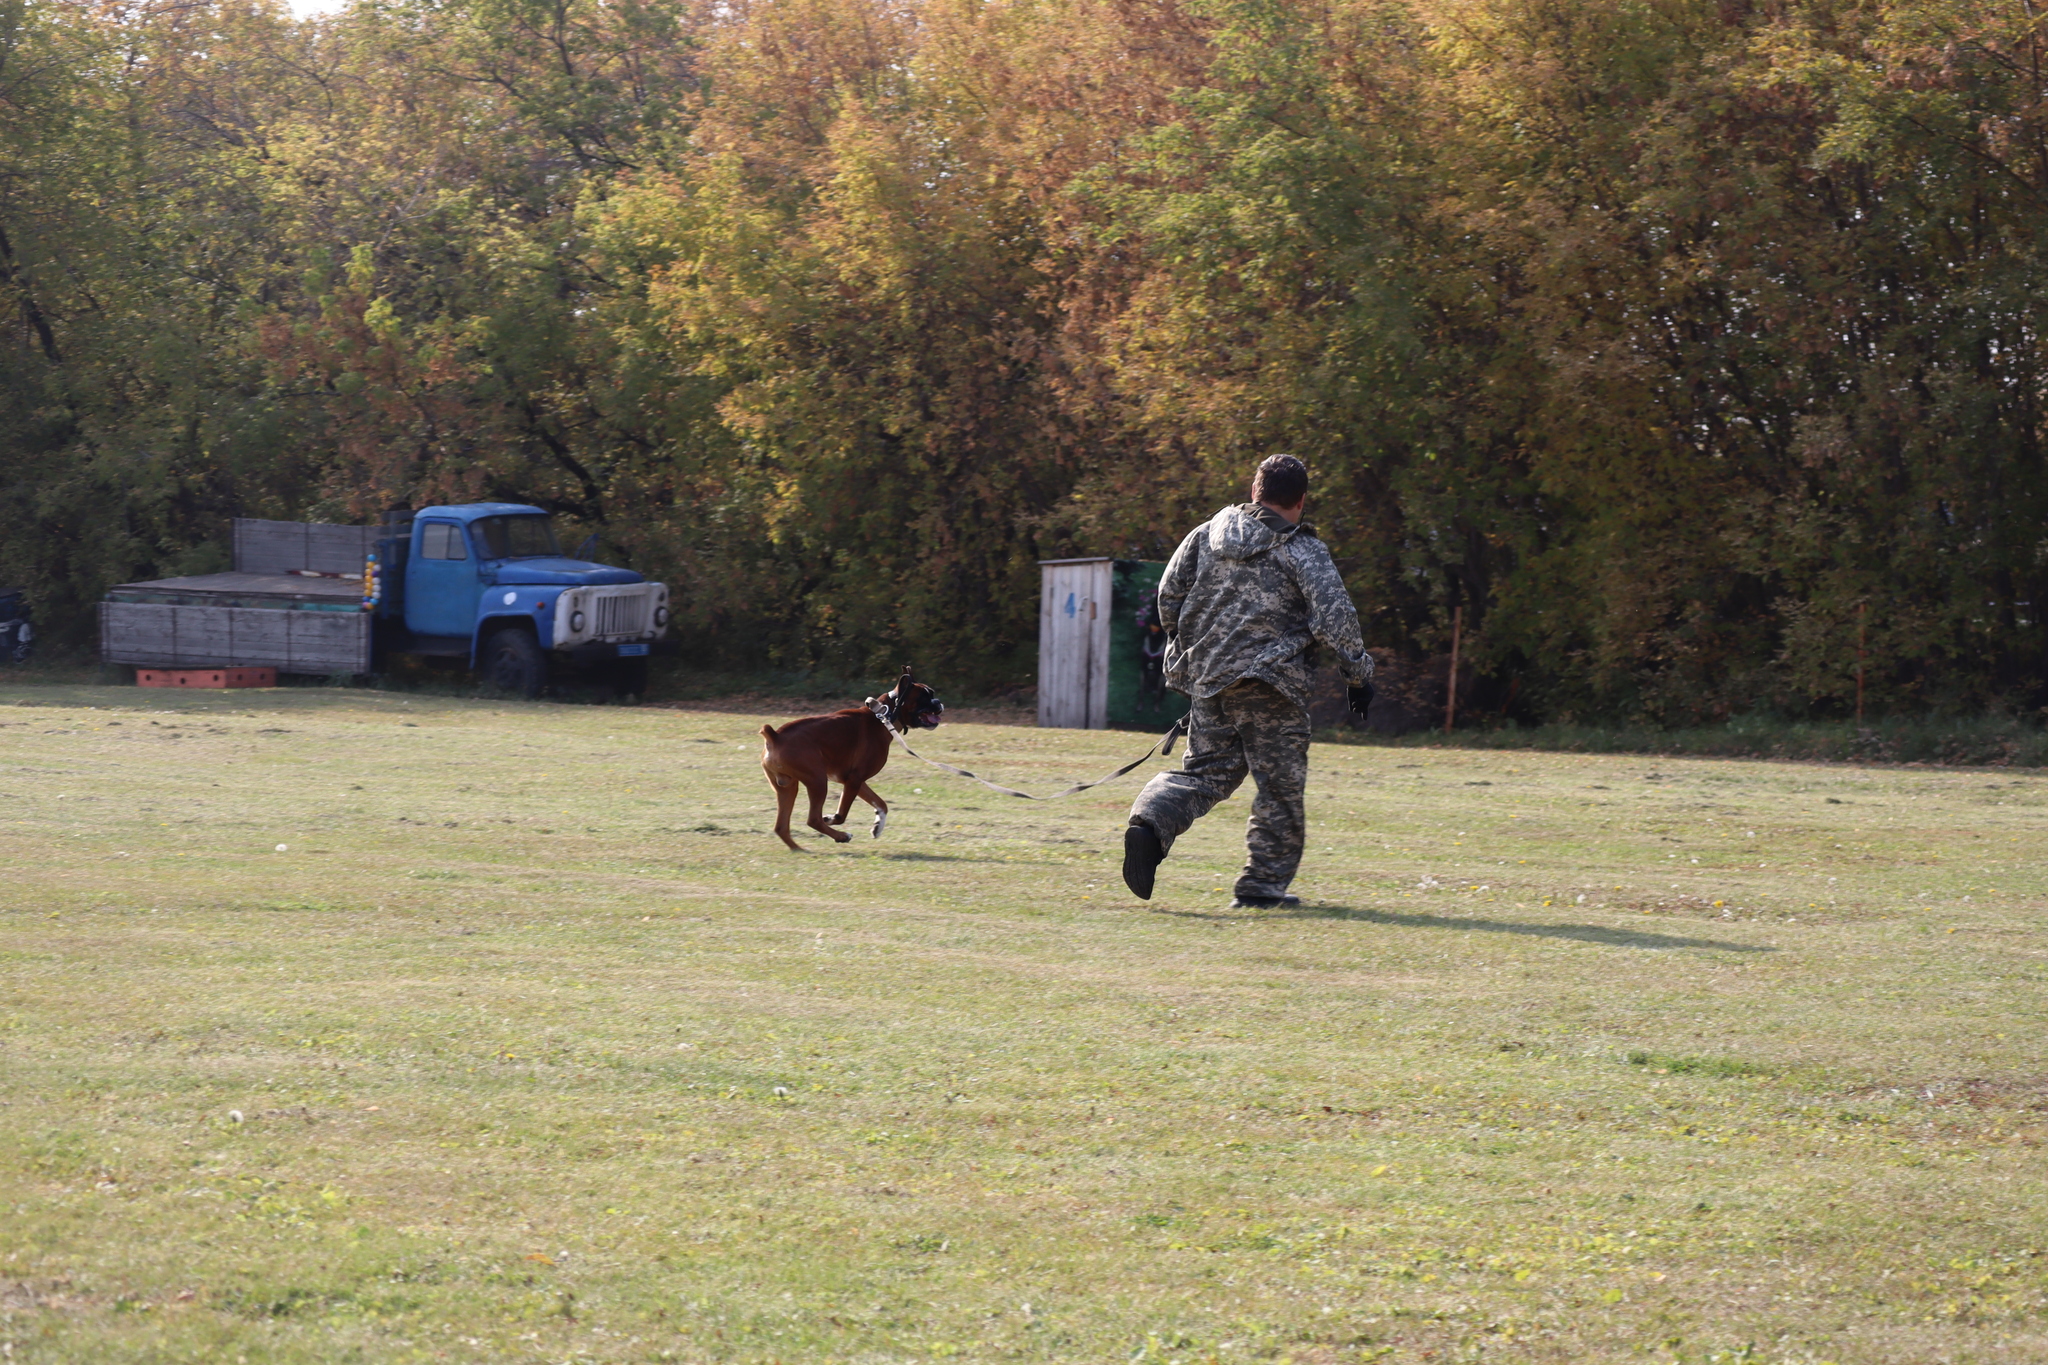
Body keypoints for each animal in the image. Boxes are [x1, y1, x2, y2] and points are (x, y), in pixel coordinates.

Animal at [761, 667, 942, 847]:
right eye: (923, 697)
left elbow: (881, 804)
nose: (938, 702)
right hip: (818, 782)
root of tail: (775, 736)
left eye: (932, 694)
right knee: (813, 819)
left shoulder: (854, 781)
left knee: (781, 827)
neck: (883, 717)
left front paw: (878, 826)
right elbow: (841, 815)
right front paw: (830, 818)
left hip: (787, 787)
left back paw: (799, 849)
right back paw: (841, 836)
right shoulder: (854, 780)